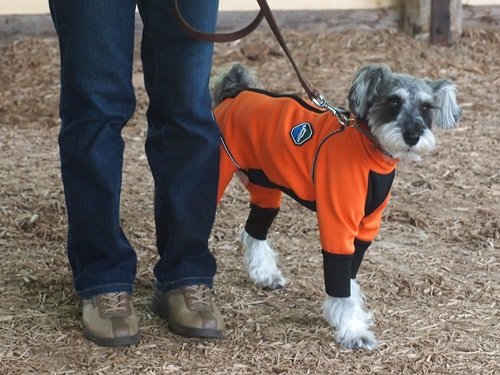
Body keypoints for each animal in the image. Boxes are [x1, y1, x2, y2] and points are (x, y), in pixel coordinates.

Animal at [211, 63, 460, 352]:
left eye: (426, 107)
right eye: (394, 101)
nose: (413, 135)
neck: (368, 151)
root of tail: (235, 93)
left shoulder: (365, 228)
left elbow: (347, 275)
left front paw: (347, 315)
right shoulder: (338, 221)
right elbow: (339, 272)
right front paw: (353, 331)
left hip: (266, 184)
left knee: (255, 230)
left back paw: (264, 274)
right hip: (215, 175)